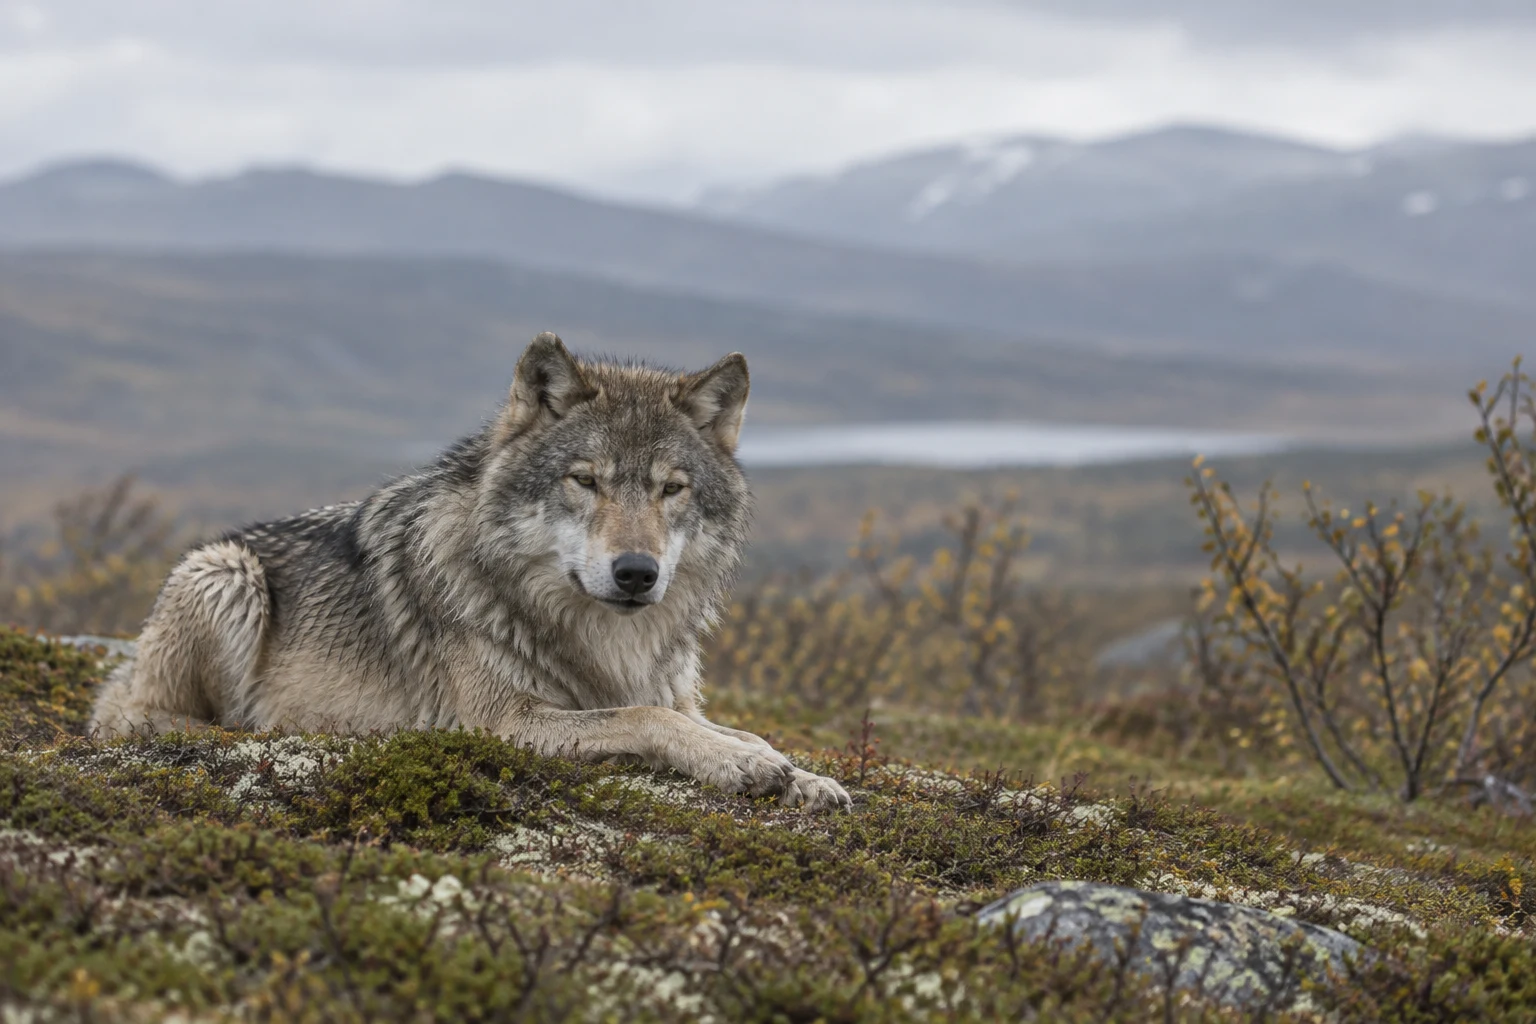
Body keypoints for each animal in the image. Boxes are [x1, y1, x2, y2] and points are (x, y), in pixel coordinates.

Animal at [89, 333, 851, 811]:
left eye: (672, 489)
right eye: (585, 480)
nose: (637, 572)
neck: (606, 641)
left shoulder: (678, 696)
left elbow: (742, 729)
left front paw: (800, 774)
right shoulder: (501, 724)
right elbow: (646, 716)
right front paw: (742, 766)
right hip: (225, 572)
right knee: (149, 717)